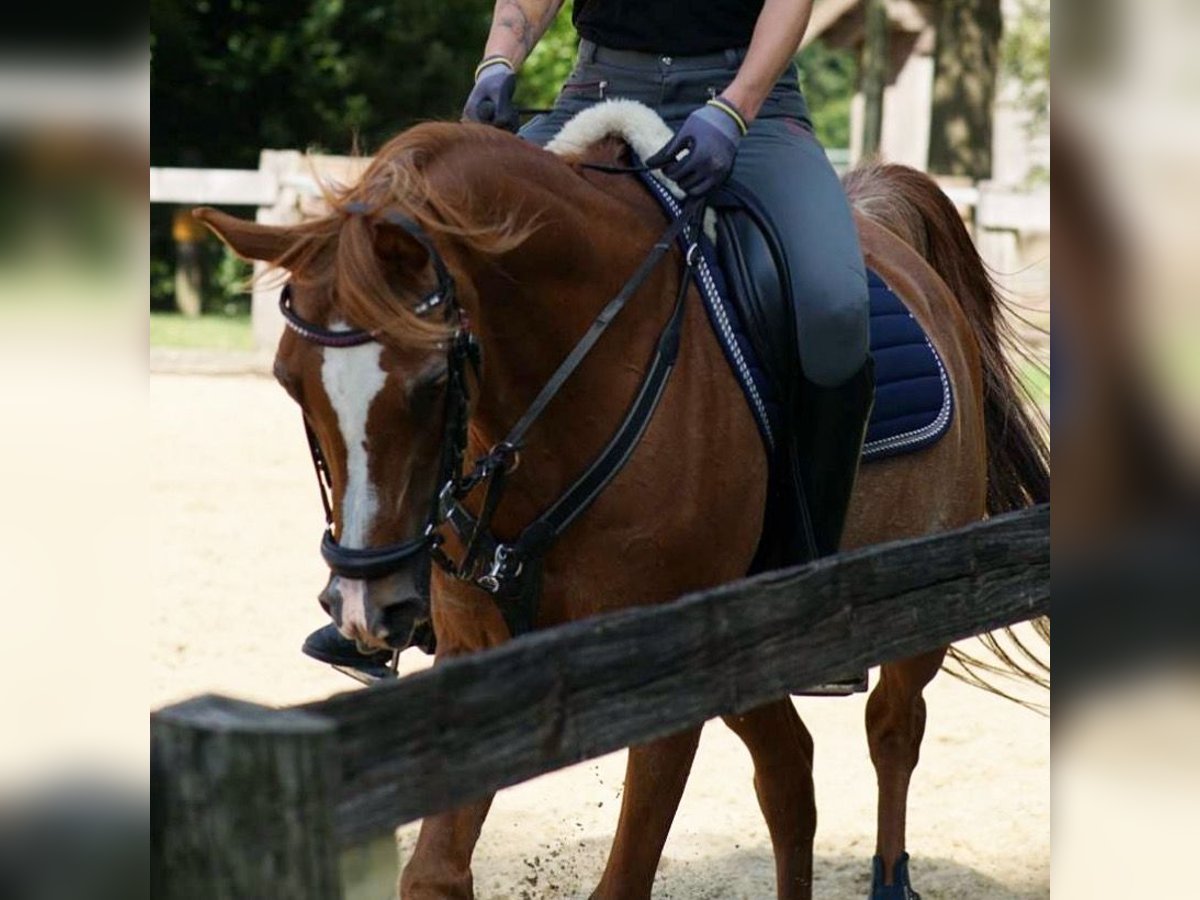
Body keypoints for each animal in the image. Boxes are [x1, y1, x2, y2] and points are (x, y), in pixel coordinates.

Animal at [199, 121, 1051, 900]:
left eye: (432, 380)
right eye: (290, 381)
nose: (365, 605)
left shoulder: (673, 676)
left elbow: (625, 879)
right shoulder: (478, 657)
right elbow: (434, 872)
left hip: (919, 606)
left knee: (892, 729)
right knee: (790, 772)